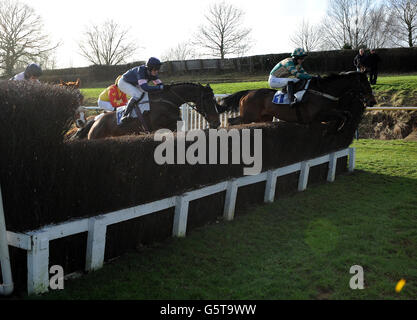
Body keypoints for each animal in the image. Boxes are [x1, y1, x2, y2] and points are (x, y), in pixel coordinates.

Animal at [84, 82, 221, 139]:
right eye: (207, 100)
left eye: (214, 99)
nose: (217, 123)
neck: (168, 100)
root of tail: (95, 121)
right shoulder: (160, 128)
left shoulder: (174, 125)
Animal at [216, 72, 376, 131]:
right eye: (365, 84)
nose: (372, 101)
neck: (323, 91)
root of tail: (247, 92)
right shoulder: (315, 116)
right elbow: (342, 115)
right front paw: (339, 127)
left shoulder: (328, 111)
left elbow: (346, 113)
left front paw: (340, 126)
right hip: (249, 116)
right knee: (232, 121)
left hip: (264, 117)